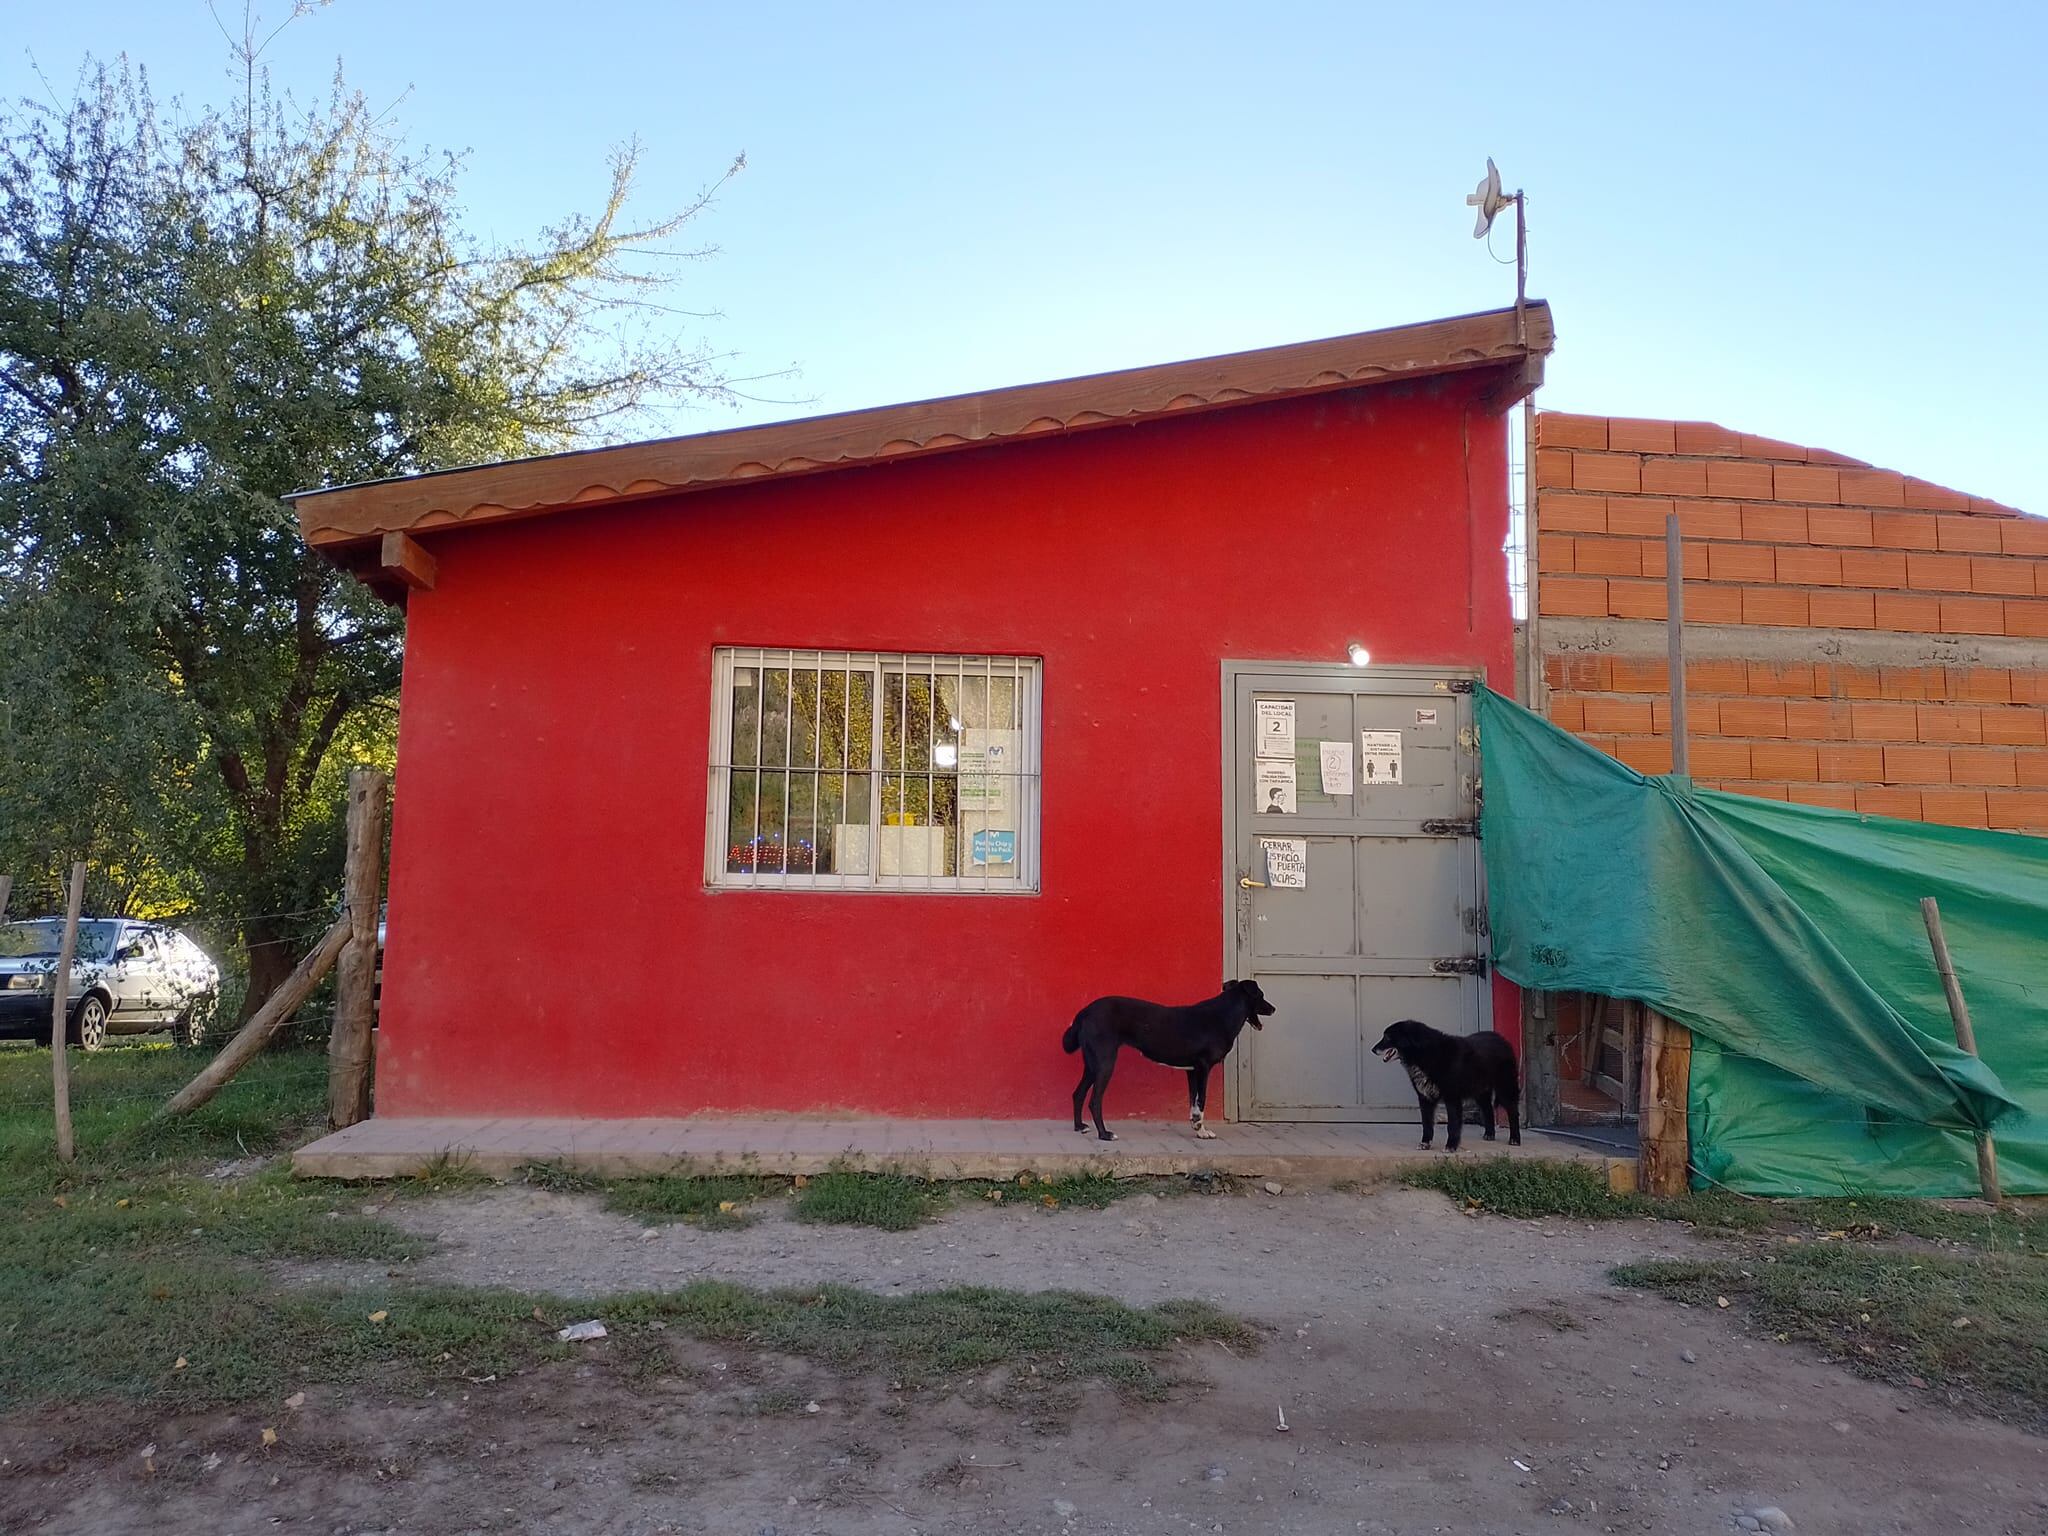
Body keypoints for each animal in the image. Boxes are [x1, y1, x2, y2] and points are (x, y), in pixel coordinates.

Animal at [1064, 987, 1269, 1146]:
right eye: (1260, 995)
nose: (1273, 1008)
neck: (1222, 1015)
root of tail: (1084, 1012)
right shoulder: (1203, 1068)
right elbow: (1202, 1100)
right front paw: (1202, 1131)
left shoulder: (1192, 1071)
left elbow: (1193, 1102)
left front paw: (1197, 1128)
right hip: (1105, 1063)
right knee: (1094, 1101)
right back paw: (1104, 1134)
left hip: (1093, 1065)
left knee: (1078, 1093)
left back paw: (1079, 1126)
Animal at [1368, 1024, 1515, 1155]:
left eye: (1387, 1037)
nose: (1373, 1049)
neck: (1426, 1054)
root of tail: (1501, 1039)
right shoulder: (1425, 1098)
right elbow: (1426, 1124)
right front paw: (1425, 1144)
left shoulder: (1452, 1098)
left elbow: (1452, 1125)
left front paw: (1451, 1146)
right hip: (1480, 1092)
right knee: (1488, 1110)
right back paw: (1490, 1134)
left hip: (1505, 1089)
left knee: (1513, 1112)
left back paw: (1515, 1139)